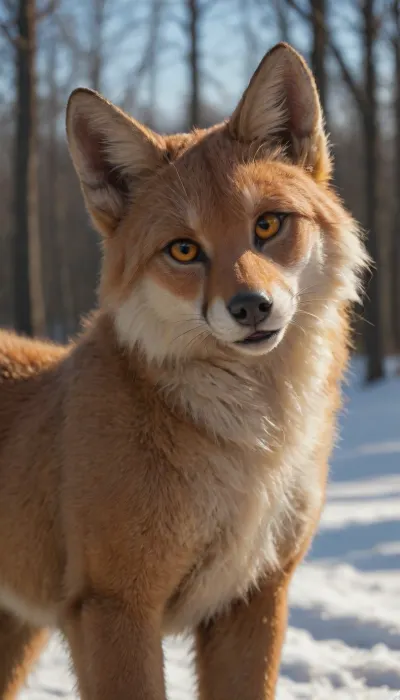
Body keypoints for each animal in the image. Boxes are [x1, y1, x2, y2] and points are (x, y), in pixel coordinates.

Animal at [0, 43, 368, 700]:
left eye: (268, 224)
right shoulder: (115, 606)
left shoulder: (254, 597)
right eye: (184, 250)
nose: (250, 307)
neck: (250, 450)